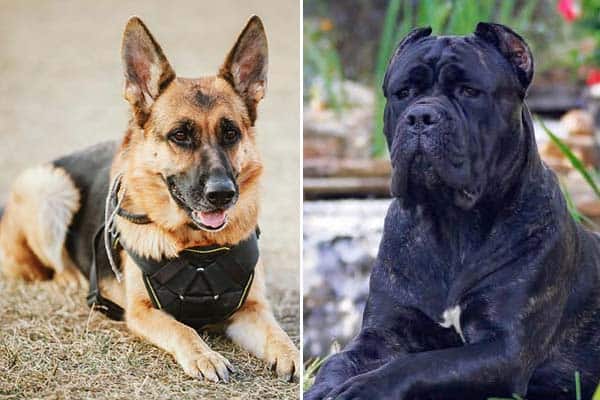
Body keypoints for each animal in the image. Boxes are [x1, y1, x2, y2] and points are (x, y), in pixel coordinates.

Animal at [0, 15, 298, 382]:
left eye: (230, 133)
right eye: (180, 135)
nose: (222, 194)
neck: (198, 248)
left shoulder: (251, 309)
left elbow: (278, 333)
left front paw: (293, 354)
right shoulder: (142, 312)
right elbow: (184, 329)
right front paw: (206, 355)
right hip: (48, 186)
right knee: (48, 269)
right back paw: (72, 279)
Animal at [308, 22, 600, 400]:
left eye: (469, 91)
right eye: (404, 92)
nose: (421, 115)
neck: (452, 225)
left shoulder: (504, 348)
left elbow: (420, 364)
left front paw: (363, 389)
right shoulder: (384, 332)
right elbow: (337, 361)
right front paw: (324, 388)